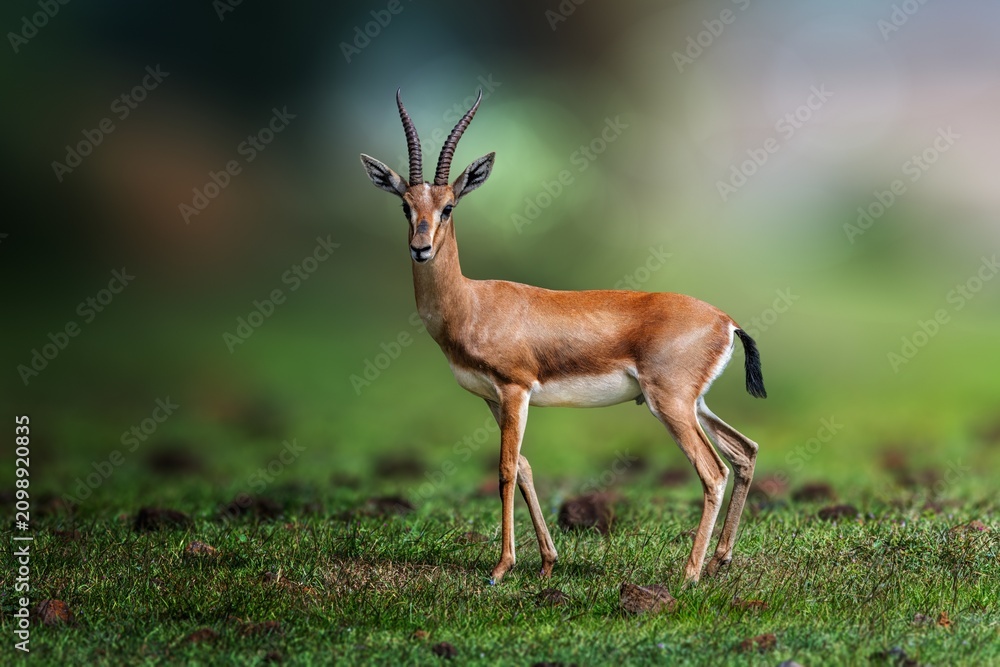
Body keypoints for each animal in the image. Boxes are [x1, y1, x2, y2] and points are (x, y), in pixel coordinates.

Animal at [360, 90, 766, 585]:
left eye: (449, 206)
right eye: (405, 205)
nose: (420, 248)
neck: (470, 303)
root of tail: (727, 321)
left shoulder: (515, 389)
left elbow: (505, 470)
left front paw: (500, 568)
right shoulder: (493, 398)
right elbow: (526, 468)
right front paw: (547, 563)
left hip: (669, 404)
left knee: (713, 471)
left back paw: (688, 575)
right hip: (695, 404)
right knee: (744, 452)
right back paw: (721, 559)